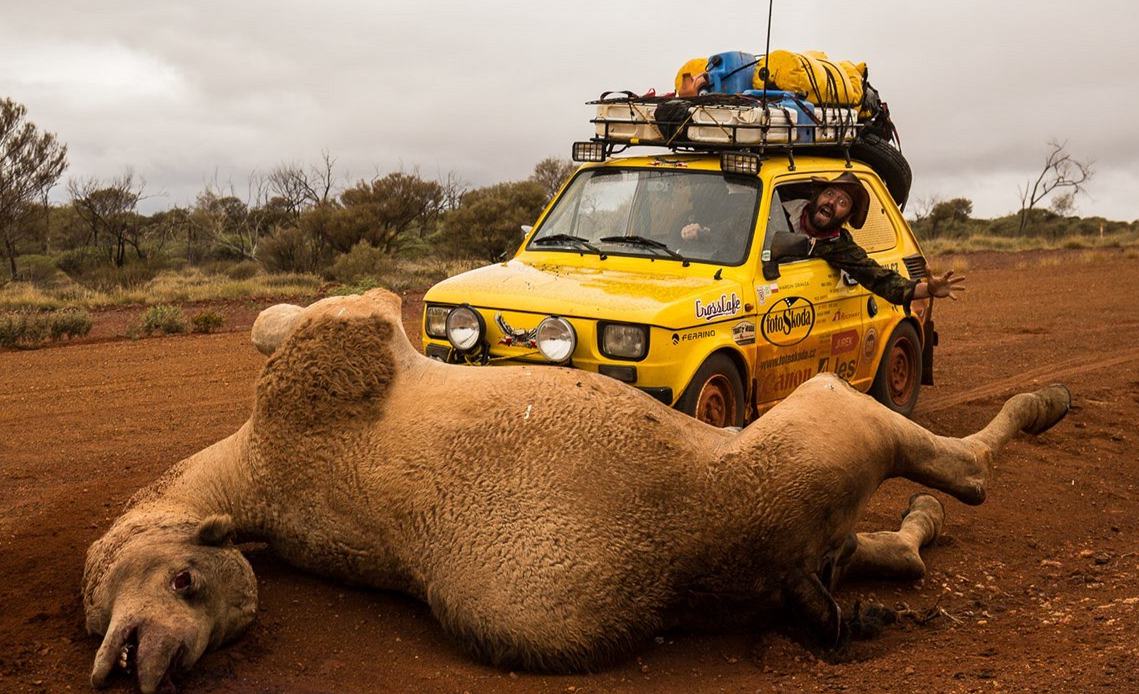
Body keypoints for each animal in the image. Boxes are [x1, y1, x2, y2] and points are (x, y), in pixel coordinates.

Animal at [80, 287, 1066, 688]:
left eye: (186, 582)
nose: (146, 662)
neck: (257, 468)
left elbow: (282, 320)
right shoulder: (341, 339)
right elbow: (321, 312)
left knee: (873, 546)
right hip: (820, 421)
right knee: (953, 479)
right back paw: (1036, 411)